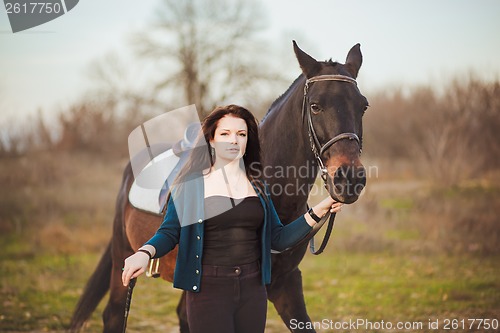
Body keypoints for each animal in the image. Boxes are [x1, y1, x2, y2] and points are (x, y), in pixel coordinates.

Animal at [70, 42, 368, 332]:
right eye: (316, 106)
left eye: (363, 106)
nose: (349, 179)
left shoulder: (286, 283)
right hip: (123, 255)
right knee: (113, 315)